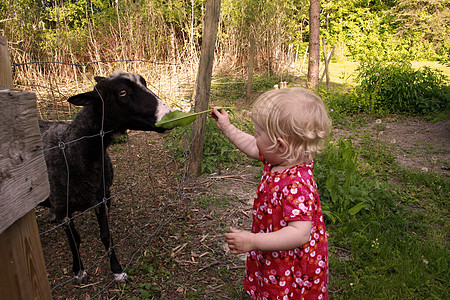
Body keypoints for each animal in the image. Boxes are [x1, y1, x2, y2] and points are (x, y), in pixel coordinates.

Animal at [38, 71, 172, 284]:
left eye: (144, 83)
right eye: (122, 92)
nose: (169, 114)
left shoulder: (101, 198)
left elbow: (106, 235)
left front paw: (117, 270)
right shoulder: (64, 207)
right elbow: (75, 239)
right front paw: (79, 271)